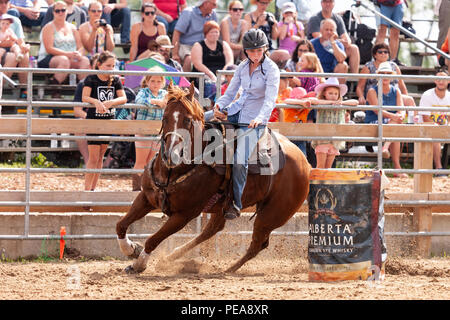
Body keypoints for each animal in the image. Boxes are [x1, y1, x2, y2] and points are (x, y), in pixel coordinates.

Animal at [116, 82, 312, 272]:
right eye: (165, 117)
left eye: (188, 120)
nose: (170, 154)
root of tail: (304, 162)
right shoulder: (146, 197)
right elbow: (121, 225)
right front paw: (132, 249)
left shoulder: (185, 214)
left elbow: (153, 239)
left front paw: (139, 264)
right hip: (224, 207)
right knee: (212, 230)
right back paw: (172, 257)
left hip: (271, 216)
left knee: (257, 244)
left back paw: (228, 270)